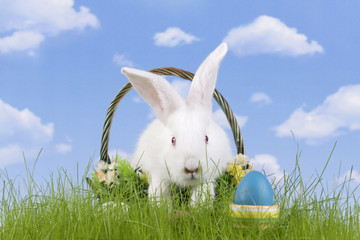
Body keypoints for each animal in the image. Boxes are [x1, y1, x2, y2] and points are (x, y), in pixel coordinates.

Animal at [122, 43, 232, 204]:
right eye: (172, 140)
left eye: (206, 138)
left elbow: (201, 196)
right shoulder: (158, 174)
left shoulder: (206, 180)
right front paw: (161, 208)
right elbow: (160, 194)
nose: (192, 167)